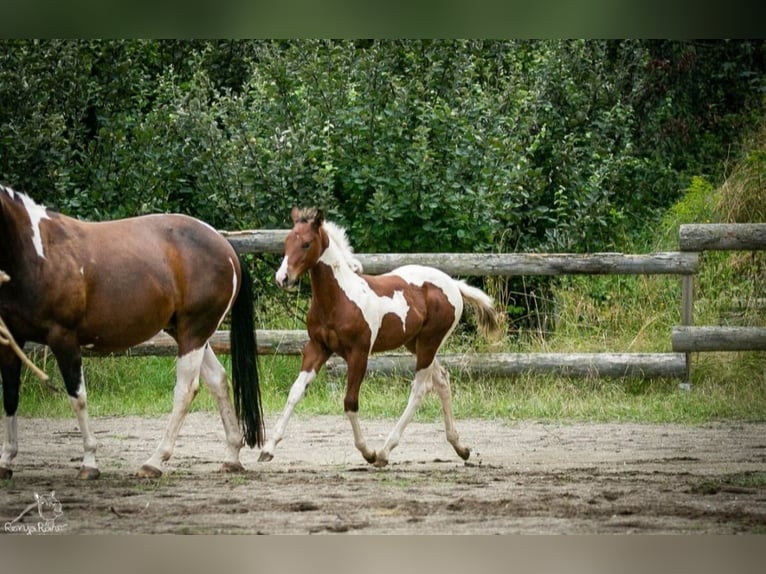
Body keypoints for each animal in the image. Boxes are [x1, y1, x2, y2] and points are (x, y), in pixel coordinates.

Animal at [0, 186, 264, 482]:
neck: (36, 252)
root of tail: (226, 247)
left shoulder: (64, 338)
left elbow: (77, 398)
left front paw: (89, 462)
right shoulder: (11, 341)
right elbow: (10, 396)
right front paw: (6, 460)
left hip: (194, 333)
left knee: (186, 390)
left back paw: (154, 462)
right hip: (190, 334)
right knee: (218, 380)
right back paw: (231, 457)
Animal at [260, 207, 504, 468]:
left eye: (306, 244)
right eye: (286, 242)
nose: (282, 278)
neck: (339, 299)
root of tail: (454, 285)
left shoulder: (359, 353)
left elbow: (350, 402)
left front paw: (367, 452)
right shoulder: (317, 348)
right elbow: (295, 392)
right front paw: (268, 449)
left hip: (430, 342)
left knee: (420, 388)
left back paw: (384, 452)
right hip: (415, 343)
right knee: (441, 379)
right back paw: (461, 448)